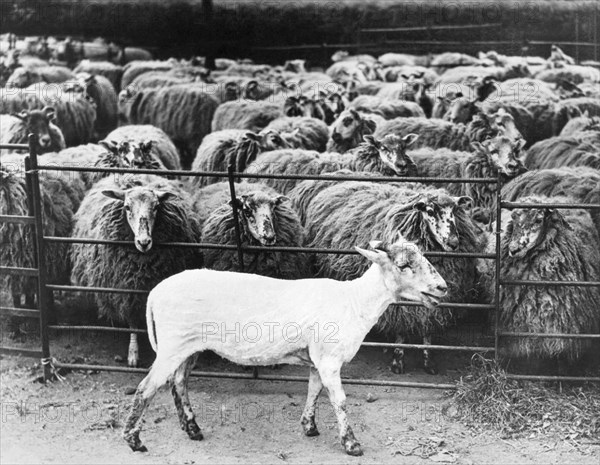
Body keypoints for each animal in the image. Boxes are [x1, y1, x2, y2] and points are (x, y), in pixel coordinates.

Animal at [123, 237, 450, 454]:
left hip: (189, 346)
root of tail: (155, 292)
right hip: (173, 344)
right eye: (404, 265)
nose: (443, 288)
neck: (355, 302)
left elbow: (314, 391)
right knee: (146, 388)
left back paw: (192, 429)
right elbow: (340, 400)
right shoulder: (330, 359)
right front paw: (351, 443)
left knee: (179, 383)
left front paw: (309, 427)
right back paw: (134, 440)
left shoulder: (318, 359)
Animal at [304, 181, 478, 374]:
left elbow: (428, 328)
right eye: (430, 211)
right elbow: (401, 330)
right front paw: (397, 360)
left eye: (454, 210)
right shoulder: (400, 303)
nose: (454, 243)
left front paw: (428, 360)